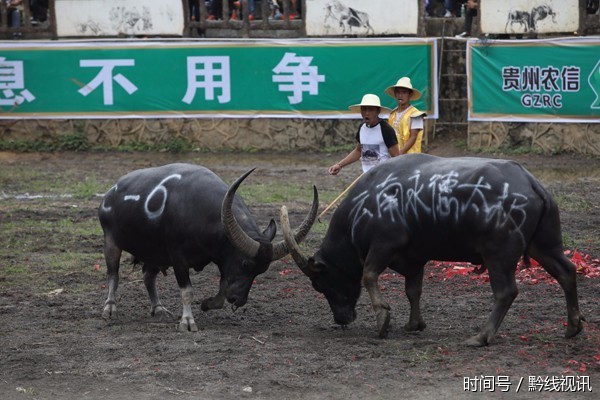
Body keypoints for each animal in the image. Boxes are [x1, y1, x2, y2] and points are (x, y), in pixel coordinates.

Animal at [99, 163, 316, 332]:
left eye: (261, 270)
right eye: (246, 264)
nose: (239, 299)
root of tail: (109, 194)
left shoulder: (220, 258)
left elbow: (223, 288)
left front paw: (207, 304)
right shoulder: (178, 258)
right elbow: (187, 291)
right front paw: (187, 321)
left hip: (154, 252)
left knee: (147, 277)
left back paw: (158, 308)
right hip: (111, 243)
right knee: (113, 275)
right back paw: (109, 308)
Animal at [278, 154, 584, 346]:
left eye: (320, 283)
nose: (341, 319)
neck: (366, 204)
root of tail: (531, 182)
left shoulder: (383, 245)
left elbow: (368, 276)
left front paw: (383, 320)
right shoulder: (415, 259)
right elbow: (413, 290)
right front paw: (414, 324)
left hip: (499, 255)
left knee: (506, 292)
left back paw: (482, 336)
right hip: (545, 245)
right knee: (567, 272)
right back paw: (573, 326)